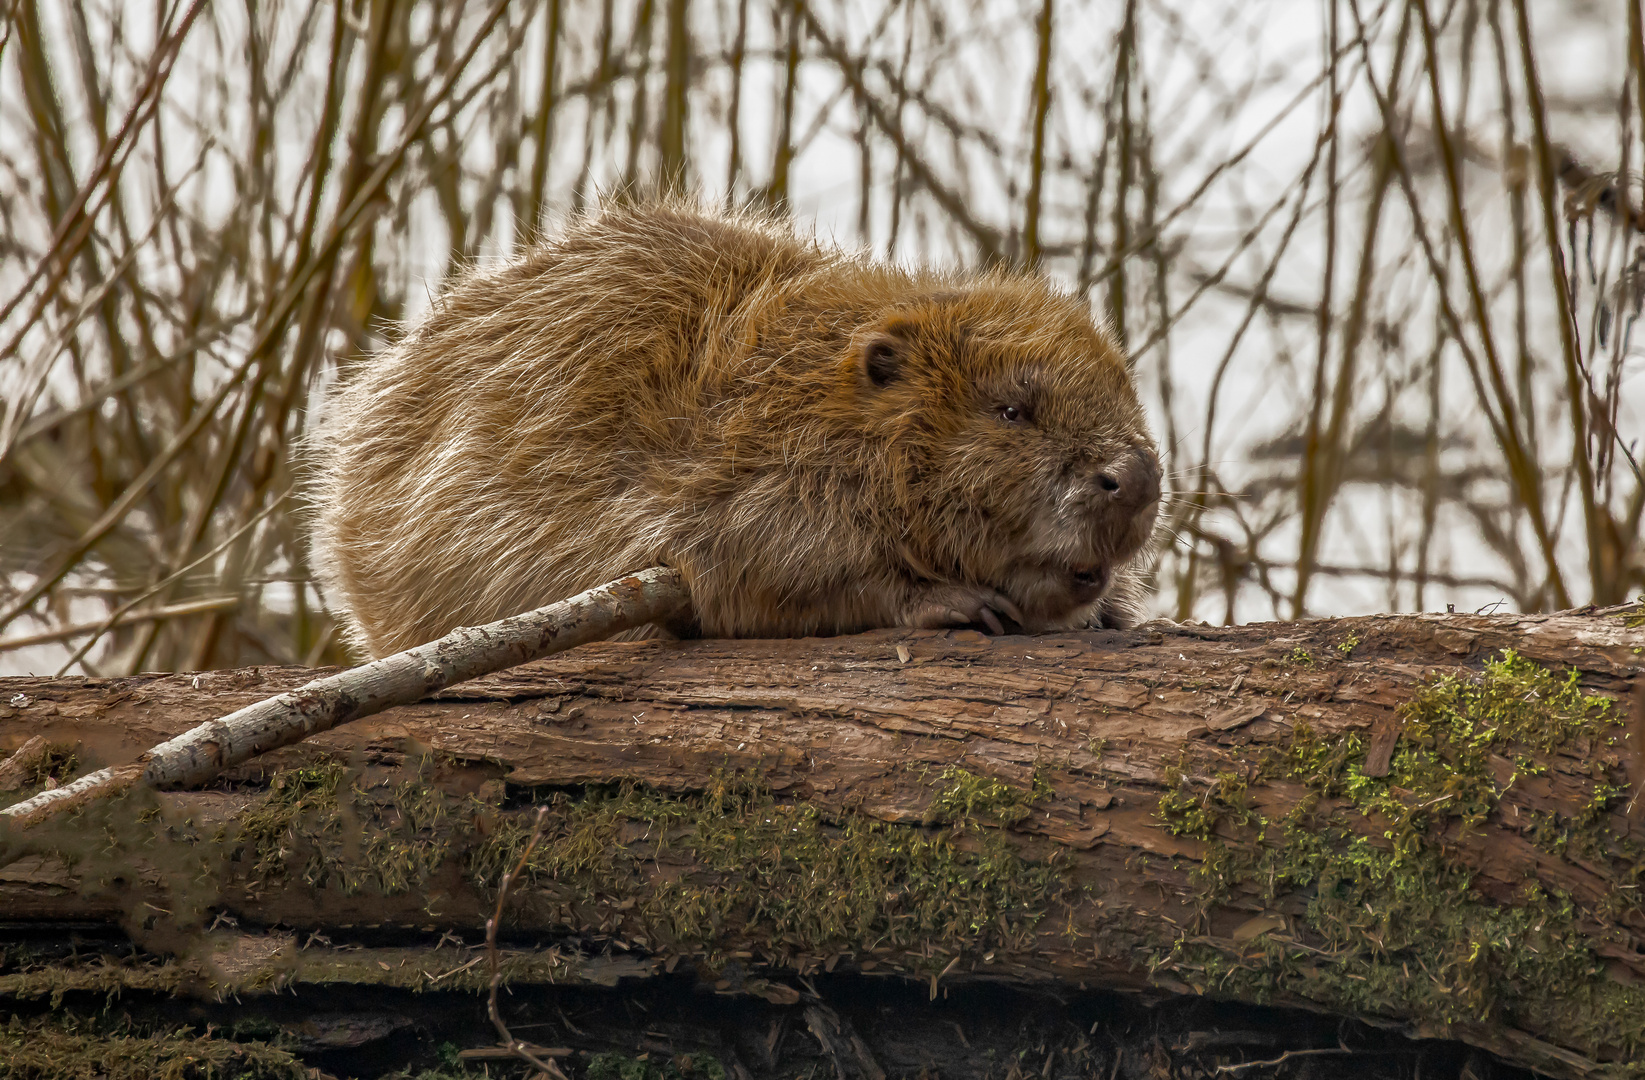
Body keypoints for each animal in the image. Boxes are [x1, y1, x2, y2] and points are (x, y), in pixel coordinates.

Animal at [305, 202, 1158, 657]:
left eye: (1123, 393)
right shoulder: (725, 483)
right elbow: (760, 570)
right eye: (1013, 409)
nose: (1135, 477)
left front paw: (1115, 608)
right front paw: (954, 601)